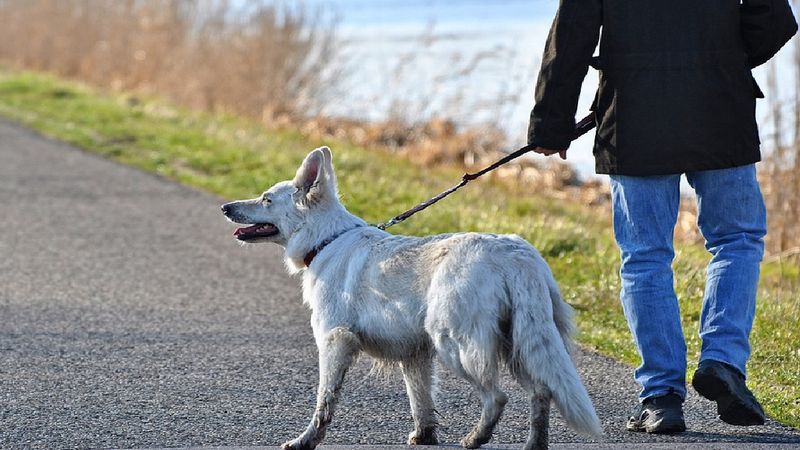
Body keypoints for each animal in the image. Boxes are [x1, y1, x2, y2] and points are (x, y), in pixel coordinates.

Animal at [219, 146, 600, 448]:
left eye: (266, 199)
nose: (224, 207)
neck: (326, 240)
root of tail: (515, 253)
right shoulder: (414, 355)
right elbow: (421, 402)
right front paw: (425, 437)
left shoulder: (334, 341)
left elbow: (324, 402)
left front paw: (305, 441)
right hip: (521, 344)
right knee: (541, 393)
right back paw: (533, 445)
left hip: (456, 344)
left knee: (497, 397)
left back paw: (475, 439)